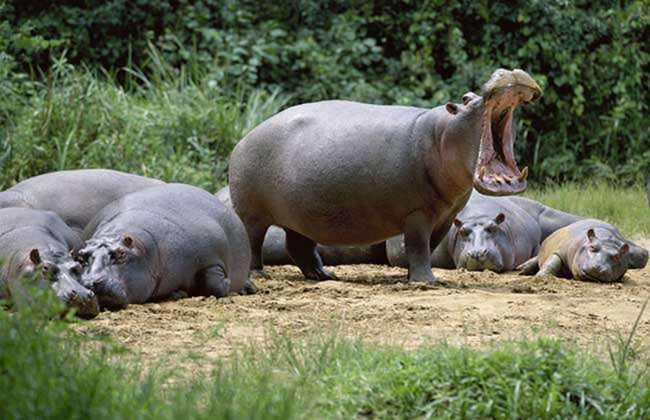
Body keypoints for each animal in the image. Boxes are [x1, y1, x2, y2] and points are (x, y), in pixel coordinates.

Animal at [78, 185, 253, 312]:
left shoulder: (211, 256)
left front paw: (228, 282)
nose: (90, 282)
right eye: (81, 255)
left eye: (121, 253)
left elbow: (213, 283)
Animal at [228, 69, 540, 284]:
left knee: (298, 245)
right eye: (466, 99)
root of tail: (243, 139)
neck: (441, 133)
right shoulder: (417, 214)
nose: (507, 71)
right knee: (253, 241)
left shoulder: (446, 215)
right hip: (253, 214)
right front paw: (426, 282)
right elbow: (417, 245)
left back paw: (324, 276)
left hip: (300, 215)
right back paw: (259, 274)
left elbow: (428, 246)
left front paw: (413, 277)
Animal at [512, 220, 644, 282]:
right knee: (536, 259)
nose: (598, 267)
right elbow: (553, 261)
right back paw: (522, 270)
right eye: (592, 247)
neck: (606, 239)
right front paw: (542, 277)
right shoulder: (562, 250)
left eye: (617, 256)